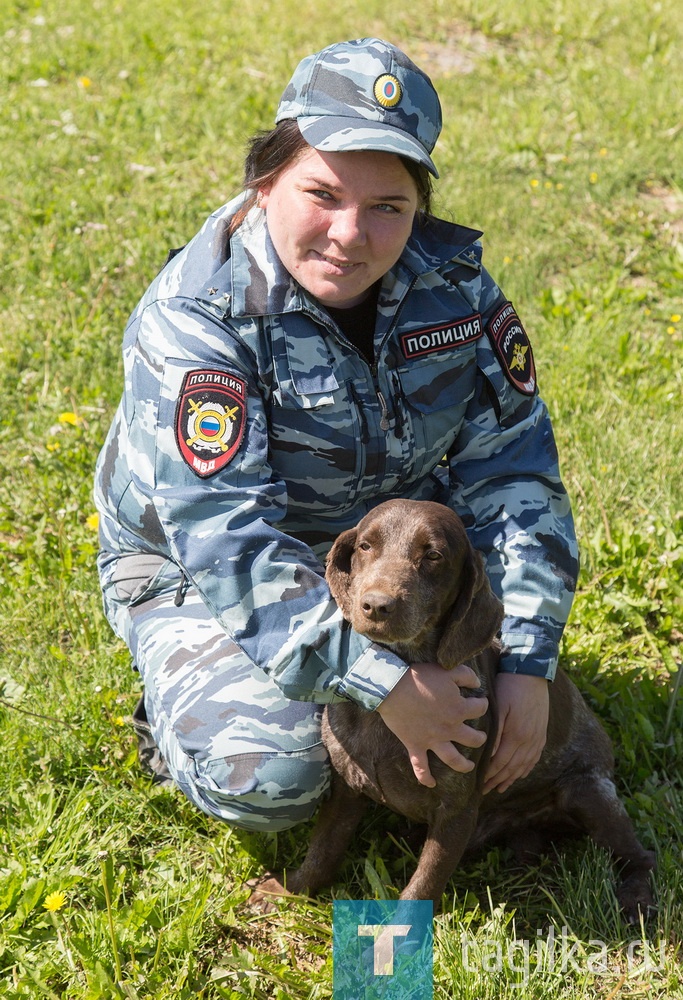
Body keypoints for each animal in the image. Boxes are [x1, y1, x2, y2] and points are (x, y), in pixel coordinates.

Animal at [248, 500, 656, 920]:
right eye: (364, 546)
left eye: (433, 555)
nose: (376, 605)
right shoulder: (346, 787)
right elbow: (323, 850)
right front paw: (289, 890)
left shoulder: (455, 810)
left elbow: (423, 885)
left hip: (589, 792)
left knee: (641, 856)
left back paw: (636, 898)